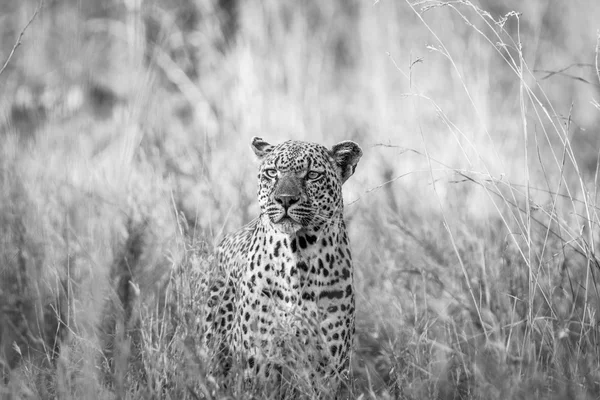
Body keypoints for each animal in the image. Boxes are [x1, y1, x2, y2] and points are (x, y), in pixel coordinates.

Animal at [205, 137, 360, 394]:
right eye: (272, 172)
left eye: (312, 175)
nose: (285, 199)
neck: (298, 255)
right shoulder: (257, 360)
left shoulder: (327, 366)